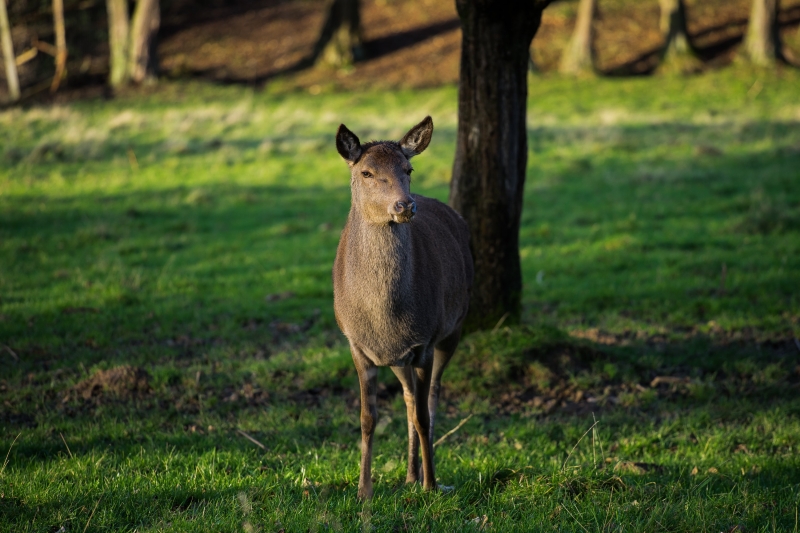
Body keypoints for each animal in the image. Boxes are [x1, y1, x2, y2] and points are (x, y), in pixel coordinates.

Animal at [332, 116, 472, 498]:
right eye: (366, 172)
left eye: (408, 169)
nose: (404, 206)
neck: (385, 317)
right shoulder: (357, 344)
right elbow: (368, 418)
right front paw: (364, 490)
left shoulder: (425, 341)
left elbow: (423, 416)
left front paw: (431, 484)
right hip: (397, 358)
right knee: (409, 398)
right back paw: (409, 474)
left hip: (455, 326)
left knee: (431, 398)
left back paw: (423, 475)